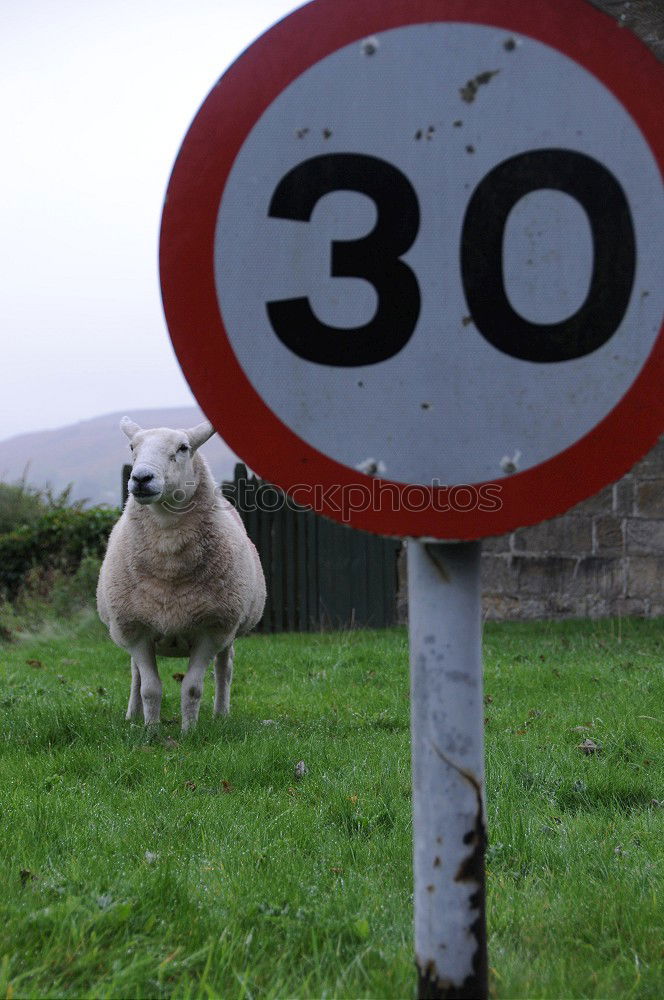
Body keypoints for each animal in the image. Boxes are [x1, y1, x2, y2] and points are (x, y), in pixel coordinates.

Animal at [96, 418, 268, 732]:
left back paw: (221, 714)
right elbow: (150, 688)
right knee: (135, 674)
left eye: (183, 448)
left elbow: (192, 688)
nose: (141, 478)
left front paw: (189, 732)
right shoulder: (135, 628)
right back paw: (132, 715)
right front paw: (151, 732)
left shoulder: (211, 629)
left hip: (230, 630)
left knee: (224, 669)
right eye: (132, 447)